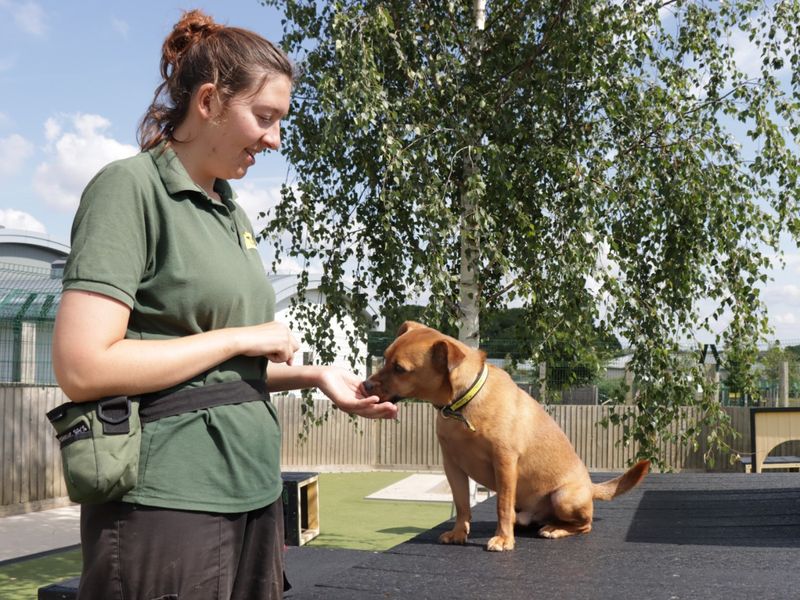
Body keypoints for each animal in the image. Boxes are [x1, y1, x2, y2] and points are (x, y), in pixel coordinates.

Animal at [362, 324, 648, 552]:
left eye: (400, 369)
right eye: (384, 359)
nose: (365, 385)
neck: (463, 404)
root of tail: (590, 487)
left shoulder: (505, 462)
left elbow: (501, 504)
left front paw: (502, 540)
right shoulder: (452, 467)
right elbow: (462, 504)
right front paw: (459, 533)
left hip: (564, 497)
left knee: (584, 524)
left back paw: (555, 529)